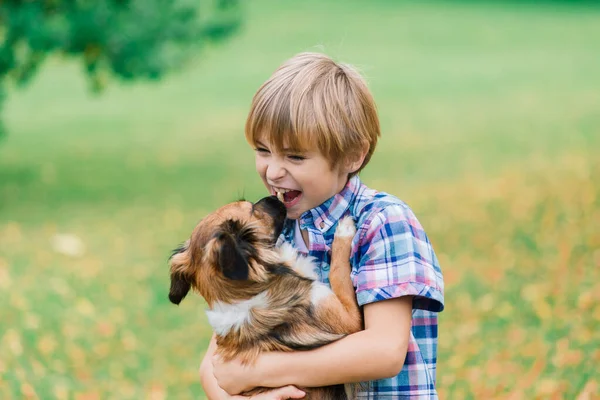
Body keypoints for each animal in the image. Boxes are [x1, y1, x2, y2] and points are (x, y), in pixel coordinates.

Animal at [168, 195, 360, 398]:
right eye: (251, 209)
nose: (274, 197)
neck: (248, 295)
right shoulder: (347, 319)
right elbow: (337, 272)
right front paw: (344, 230)